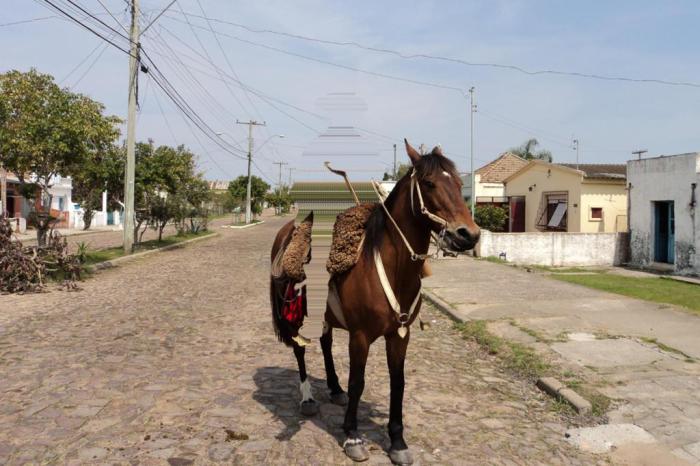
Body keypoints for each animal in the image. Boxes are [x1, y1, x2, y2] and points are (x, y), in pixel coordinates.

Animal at [270, 140, 482, 464]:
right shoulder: (360, 336)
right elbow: (358, 382)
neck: (387, 266)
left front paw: (397, 441)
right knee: (300, 350)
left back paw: (334, 389)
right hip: (295, 314)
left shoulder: (399, 335)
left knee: (325, 344)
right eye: (429, 183)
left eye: (459, 184)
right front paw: (353, 436)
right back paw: (307, 398)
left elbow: (398, 382)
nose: (468, 235)